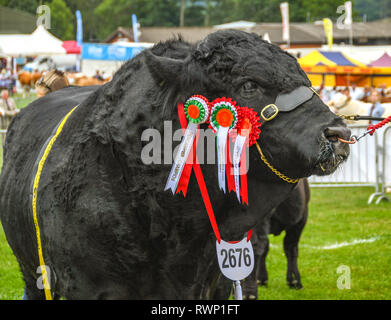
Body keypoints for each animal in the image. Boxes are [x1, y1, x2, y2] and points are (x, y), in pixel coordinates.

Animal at [0, 31, 352, 298]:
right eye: (249, 84)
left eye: (305, 79)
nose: (339, 133)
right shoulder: (89, 283)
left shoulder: (215, 281)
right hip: (30, 271)